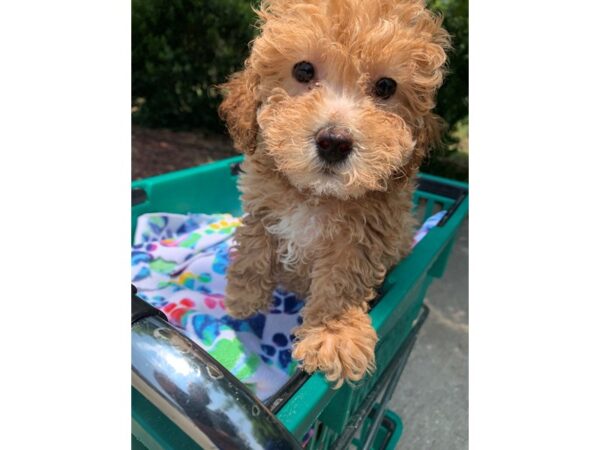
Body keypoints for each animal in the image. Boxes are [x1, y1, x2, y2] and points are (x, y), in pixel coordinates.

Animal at [218, 0, 448, 386]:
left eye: (385, 86)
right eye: (303, 69)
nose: (334, 142)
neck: (317, 194)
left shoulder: (362, 237)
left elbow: (342, 283)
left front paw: (333, 335)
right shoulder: (262, 205)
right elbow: (254, 246)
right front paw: (243, 298)